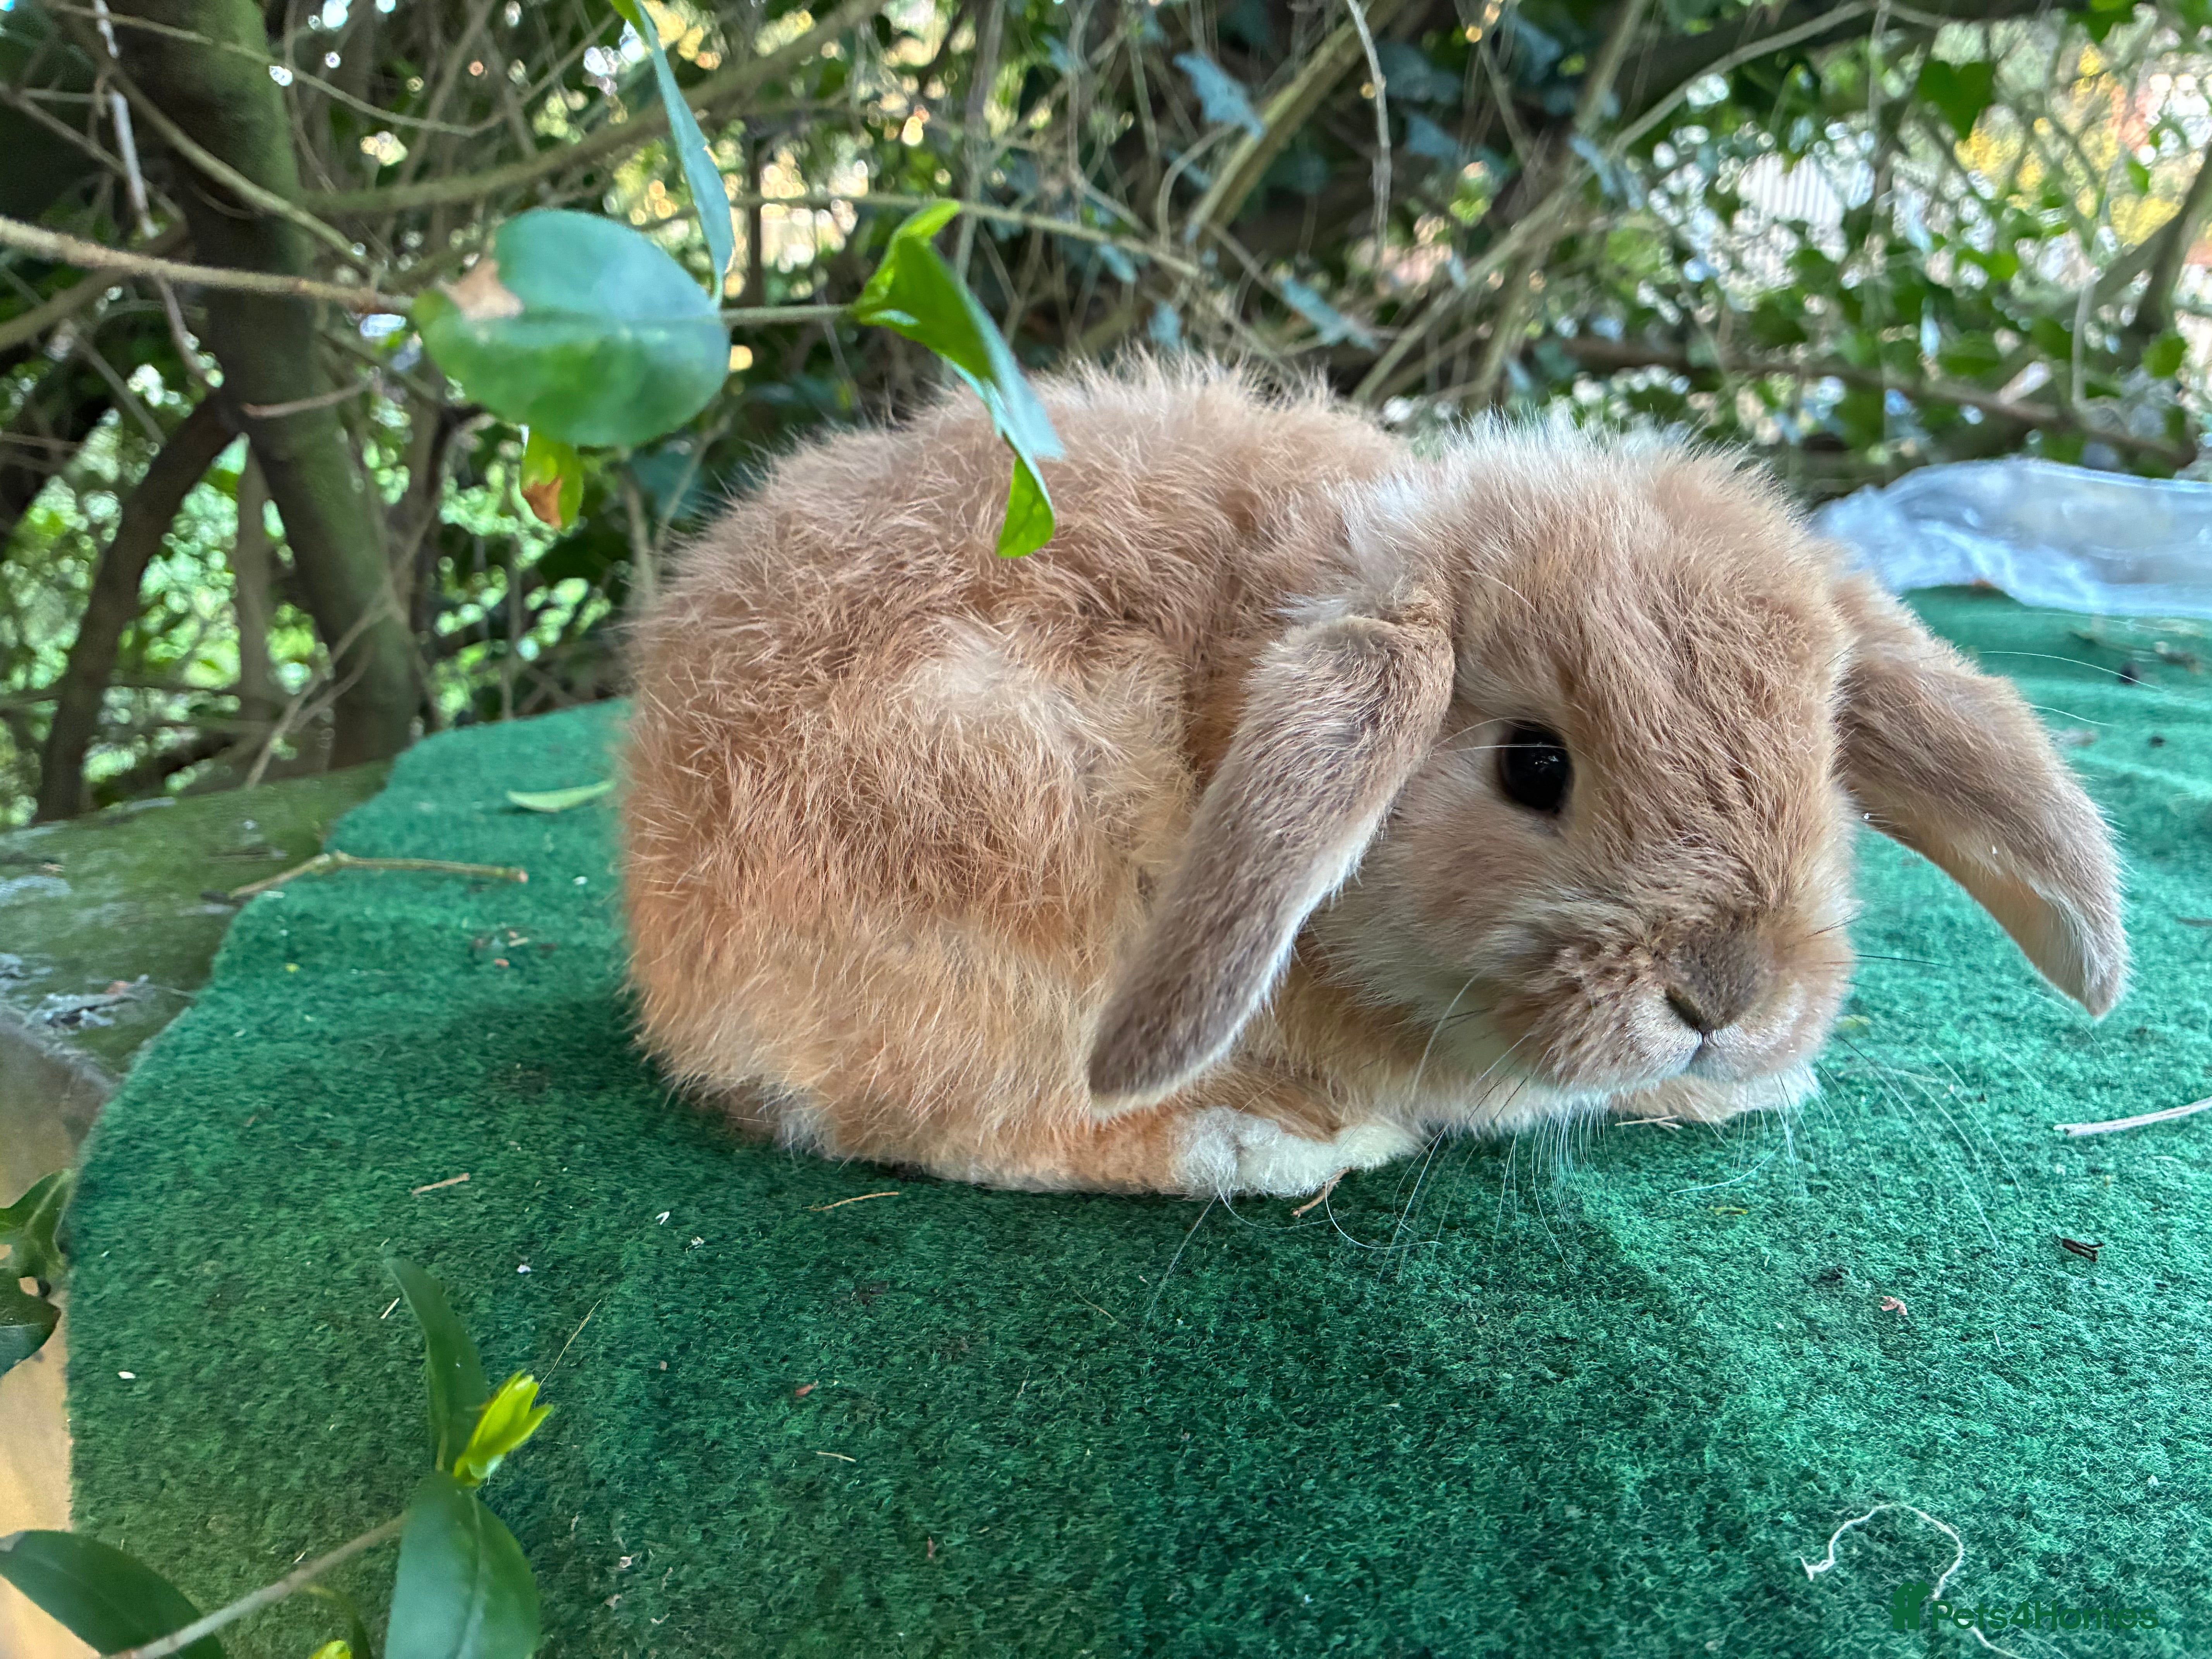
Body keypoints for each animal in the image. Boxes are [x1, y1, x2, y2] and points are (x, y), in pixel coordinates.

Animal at [622, 360, 2125, 1198]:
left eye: (1820, 766)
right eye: (1532, 765)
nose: (1726, 997)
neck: (1237, 676)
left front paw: (1746, 1083)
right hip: (1006, 842)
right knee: (973, 1121)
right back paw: (1269, 1141)